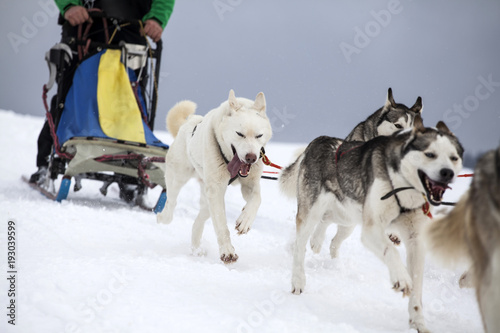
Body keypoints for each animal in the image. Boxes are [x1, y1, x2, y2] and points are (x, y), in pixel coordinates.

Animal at [158, 89, 272, 264]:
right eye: (240, 134)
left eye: (259, 136)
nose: (251, 158)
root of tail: (190, 121)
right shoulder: (217, 190)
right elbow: (221, 225)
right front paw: (227, 251)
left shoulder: (249, 184)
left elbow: (257, 199)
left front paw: (245, 220)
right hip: (180, 178)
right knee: (171, 203)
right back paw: (162, 217)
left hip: (207, 196)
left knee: (198, 220)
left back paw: (196, 246)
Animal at [286, 115, 464, 330]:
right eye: (430, 154)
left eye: (454, 157)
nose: (447, 173)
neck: (403, 188)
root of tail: (319, 140)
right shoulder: (372, 230)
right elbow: (391, 251)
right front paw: (401, 277)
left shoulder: (415, 240)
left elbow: (417, 287)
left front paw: (418, 323)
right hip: (312, 212)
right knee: (300, 244)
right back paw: (298, 280)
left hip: (349, 216)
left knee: (327, 222)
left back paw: (317, 241)